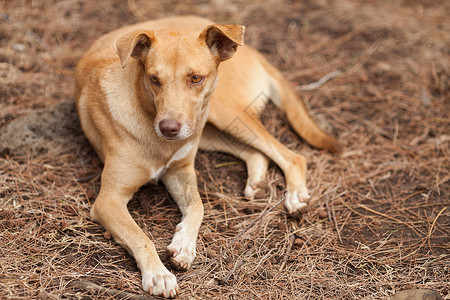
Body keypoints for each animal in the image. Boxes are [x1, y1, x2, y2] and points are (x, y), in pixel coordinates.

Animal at [74, 15, 342, 298]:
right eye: (154, 79)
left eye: (196, 78)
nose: (169, 128)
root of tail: (253, 51)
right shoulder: (109, 199)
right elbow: (140, 235)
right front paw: (159, 273)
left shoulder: (180, 171)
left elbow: (198, 206)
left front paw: (183, 245)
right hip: (211, 127)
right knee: (257, 153)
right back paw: (257, 183)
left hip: (222, 112)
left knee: (291, 156)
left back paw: (295, 196)